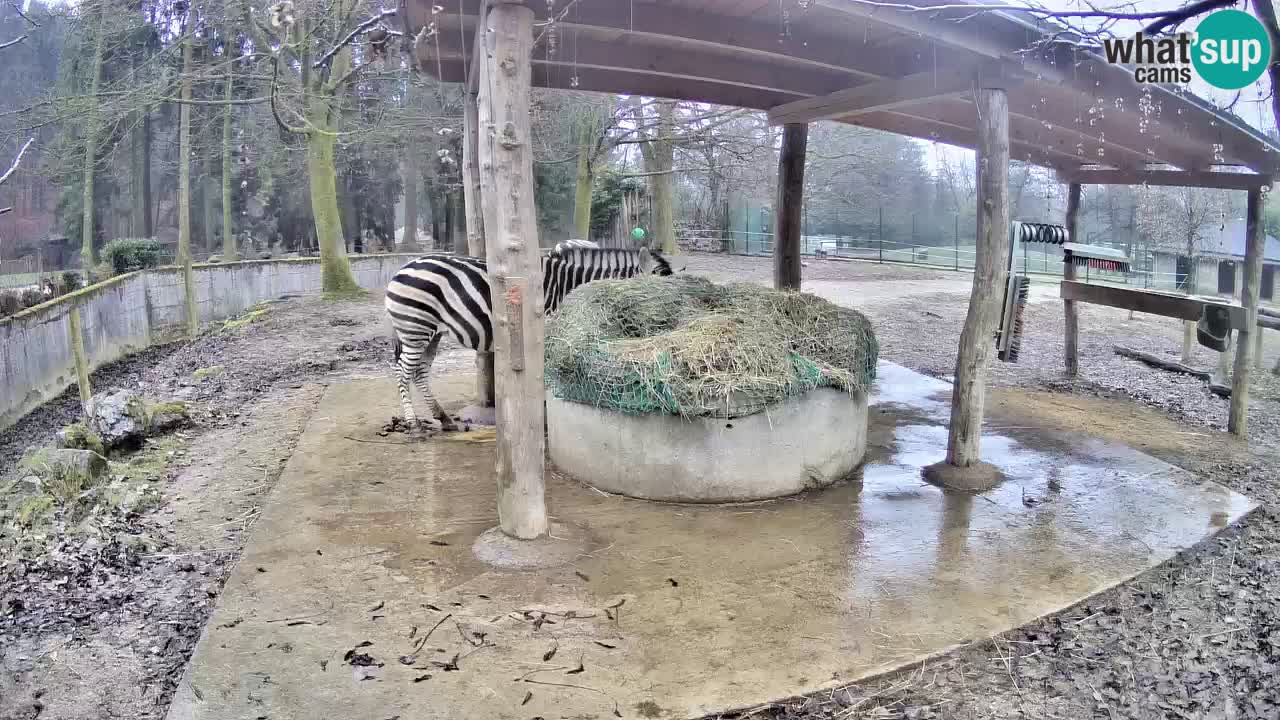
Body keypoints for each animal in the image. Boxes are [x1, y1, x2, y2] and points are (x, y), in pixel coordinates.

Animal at [384, 243, 675, 430]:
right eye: (660, 296)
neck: (570, 288)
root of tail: (402, 268)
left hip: (430, 333)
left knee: (420, 372)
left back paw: (443, 418)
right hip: (416, 328)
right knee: (403, 372)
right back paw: (412, 423)